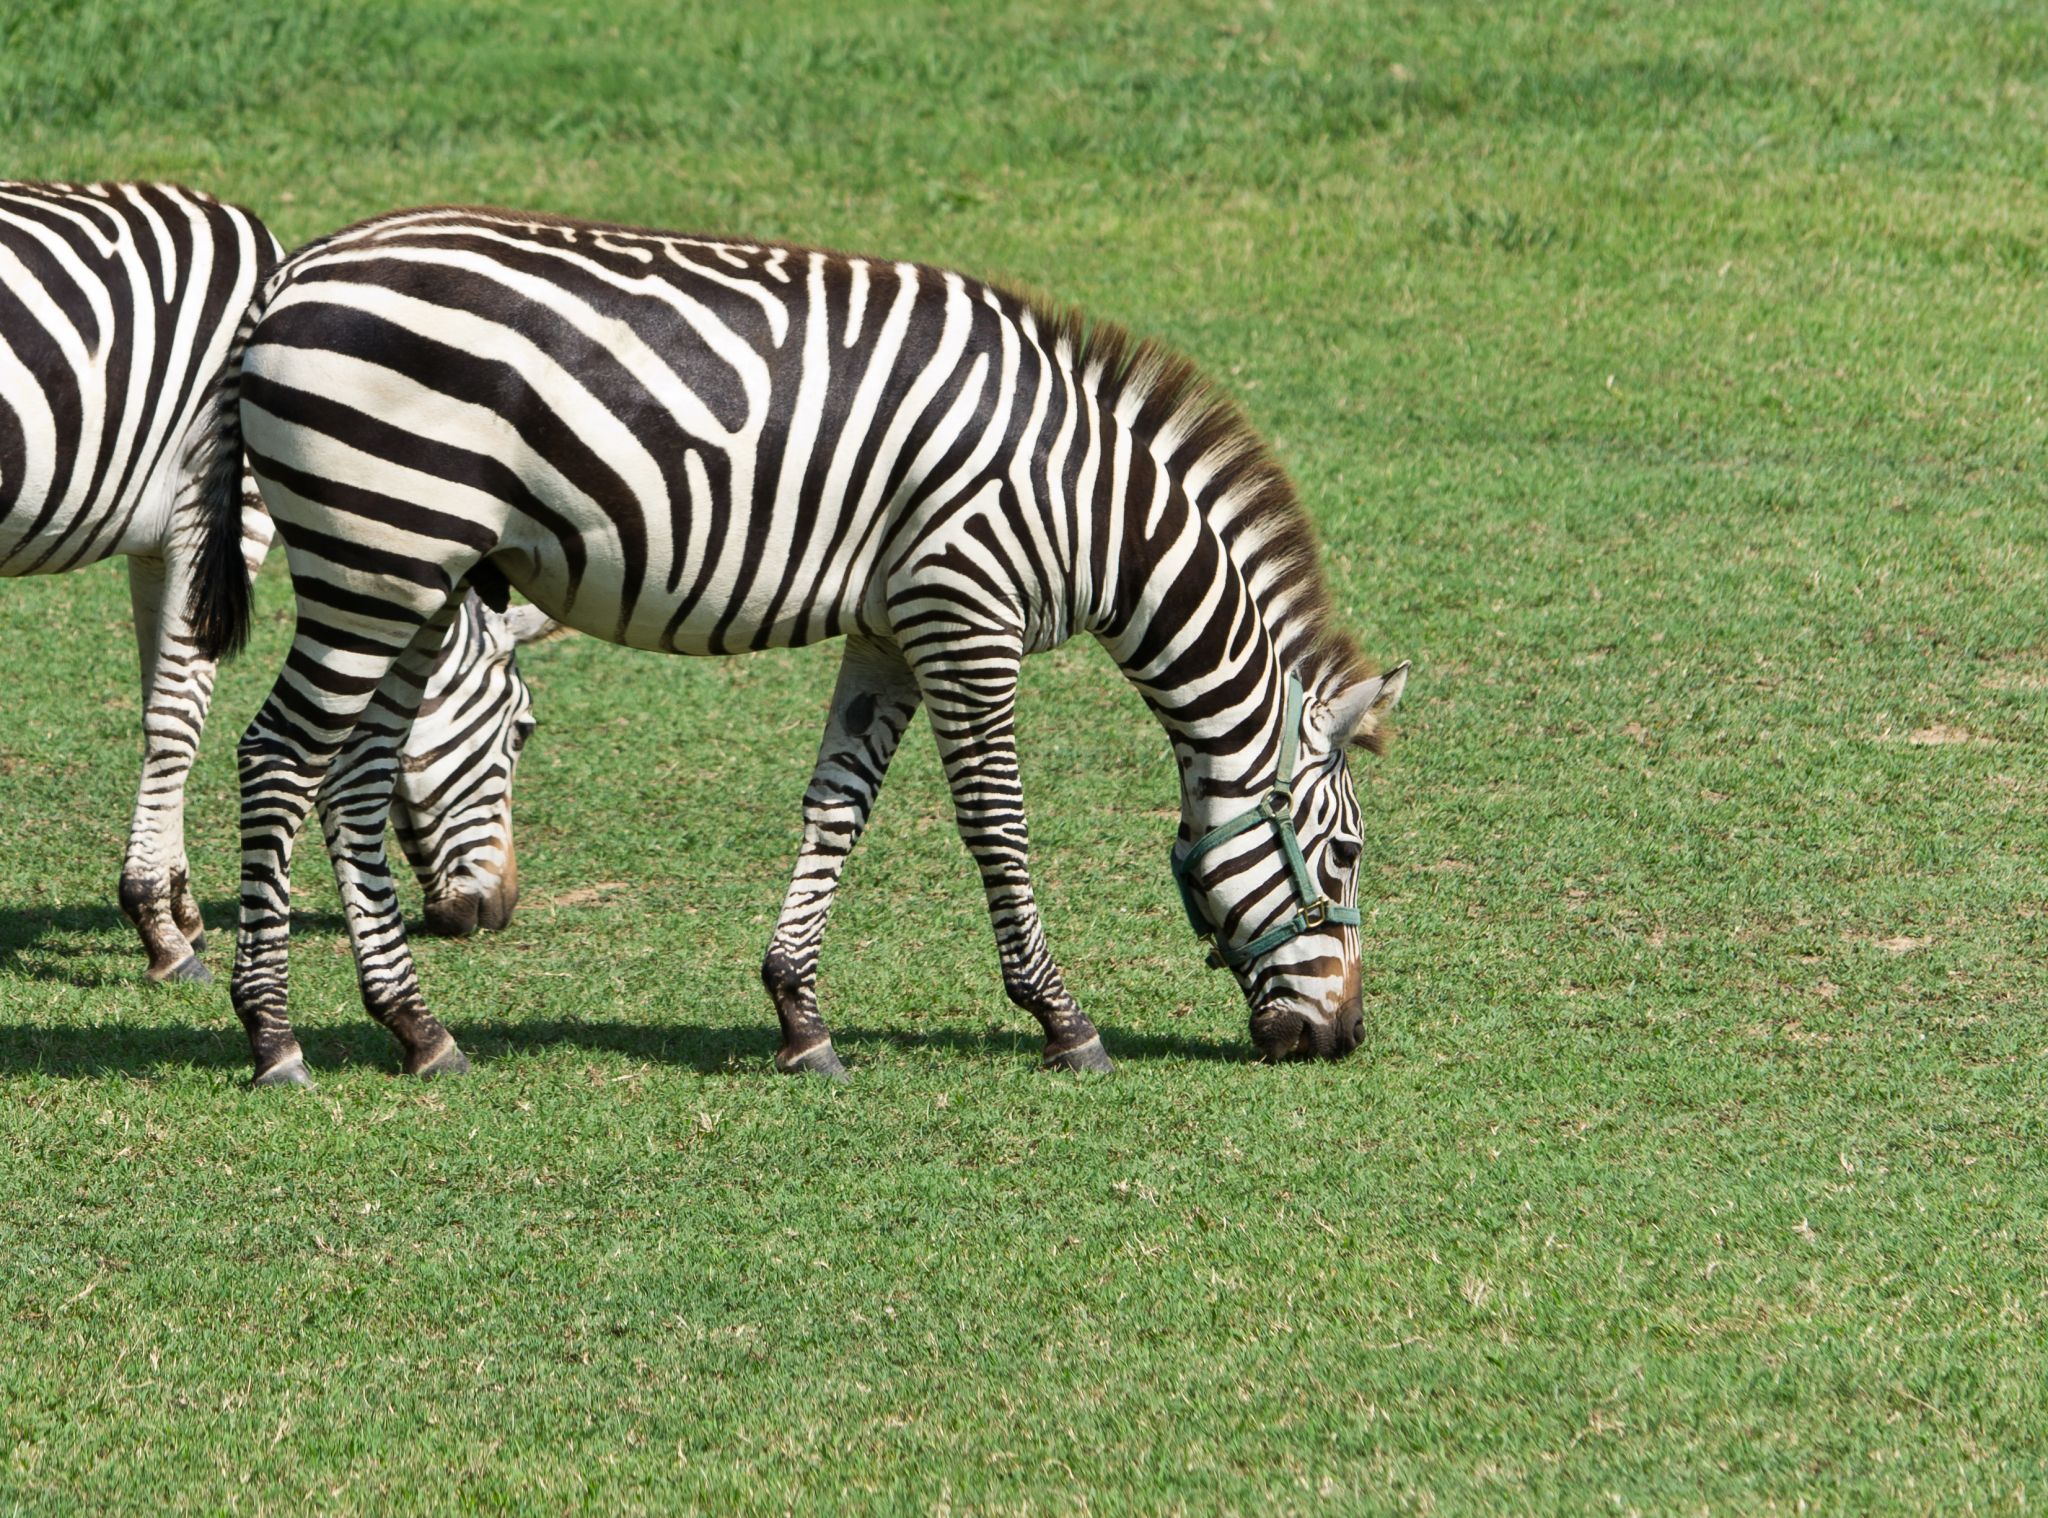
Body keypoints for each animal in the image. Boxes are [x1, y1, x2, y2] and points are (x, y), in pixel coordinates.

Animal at [0, 182, 550, 982]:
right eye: (522, 730)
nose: (497, 913)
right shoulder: (220, 514)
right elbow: (179, 722)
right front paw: (159, 929)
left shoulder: (159, 544)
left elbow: (157, 705)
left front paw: (180, 907)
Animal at [187, 205, 1407, 1085]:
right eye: (1344, 854)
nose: (1343, 1039)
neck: (1091, 507)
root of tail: (291, 282)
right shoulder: (967, 615)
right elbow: (996, 827)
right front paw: (1063, 1021)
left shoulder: (890, 629)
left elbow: (838, 807)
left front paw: (799, 1015)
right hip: (376, 557)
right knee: (276, 758)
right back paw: (273, 1039)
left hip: (413, 578)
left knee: (351, 779)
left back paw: (416, 1030)